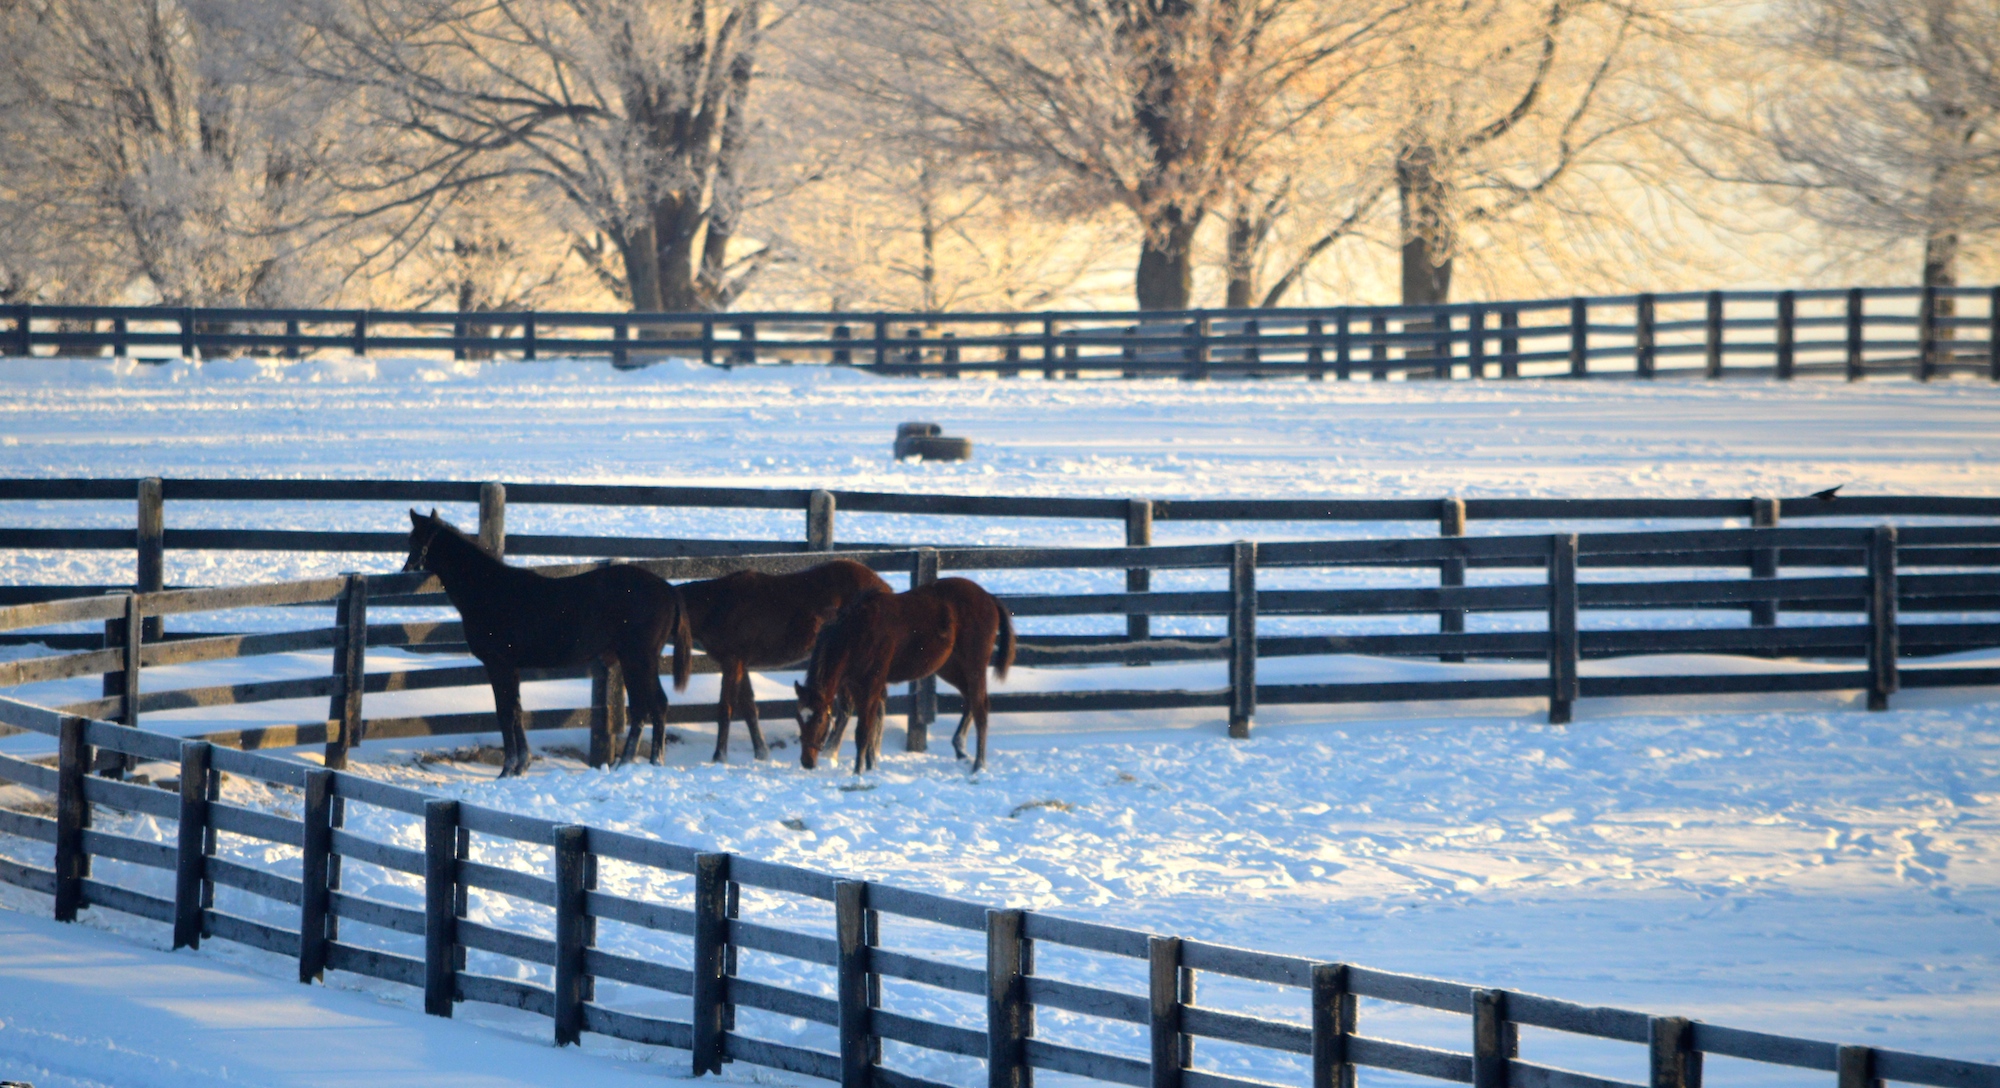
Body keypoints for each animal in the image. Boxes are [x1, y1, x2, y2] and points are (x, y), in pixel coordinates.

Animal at [402, 509, 691, 777]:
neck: (490, 590)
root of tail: (668, 590)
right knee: (644, 707)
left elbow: (505, 713)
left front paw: (507, 770)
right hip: (633, 659)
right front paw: (522, 765)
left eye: (414, 540)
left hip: (639, 658)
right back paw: (630, 764)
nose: (405, 571)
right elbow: (517, 711)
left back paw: (650, 762)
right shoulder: (512, 667)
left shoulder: (498, 664)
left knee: (656, 704)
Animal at [616, 559, 891, 765]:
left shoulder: (731, 662)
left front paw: (719, 756)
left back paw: (833, 752)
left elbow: (725, 708)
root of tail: (883, 588)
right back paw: (872, 752)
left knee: (850, 706)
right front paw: (761, 753)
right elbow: (749, 708)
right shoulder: (741, 664)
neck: (719, 605)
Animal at [794, 577, 1015, 774]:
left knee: (980, 709)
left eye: (820, 720)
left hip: (974, 666)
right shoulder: (857, 684)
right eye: (798, 717)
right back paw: (960, 748)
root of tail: (989, 597)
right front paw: (871, 766)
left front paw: (858, 773)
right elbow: (871, 727)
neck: (856, 634)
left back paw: (979, 765)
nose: (806, 761)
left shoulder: (871, 683)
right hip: (949, 667)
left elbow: (863, 731)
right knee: (971, 700)